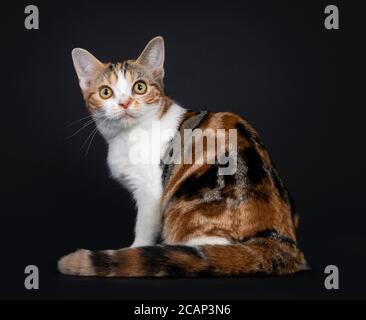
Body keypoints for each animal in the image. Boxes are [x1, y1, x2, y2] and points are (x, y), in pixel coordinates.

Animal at [58, 36, 308, 276]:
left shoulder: (150, 192)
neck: (127, 136)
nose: (124, 103)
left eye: (139, 87)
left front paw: (136, 249)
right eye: (105, 92)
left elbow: (144, 227)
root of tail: (280, 242)